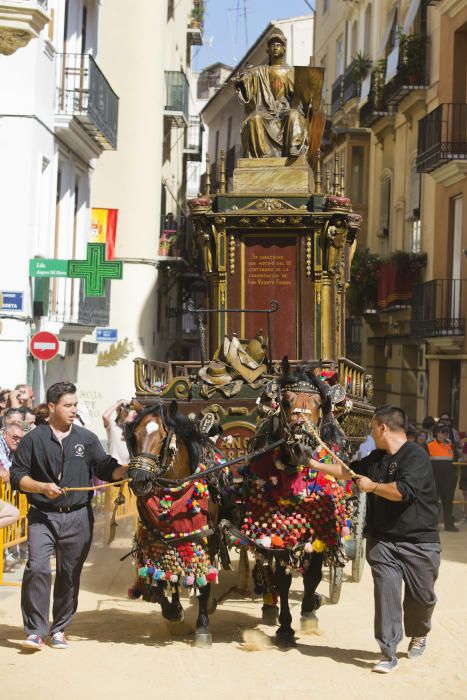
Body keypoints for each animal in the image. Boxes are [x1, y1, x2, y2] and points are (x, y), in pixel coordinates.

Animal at [123, 400, 231, 644]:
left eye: (163, 438)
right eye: (133, 435)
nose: (139, 479)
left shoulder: (207, 537)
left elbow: (204, 584)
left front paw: (202, 626)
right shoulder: (155, 539)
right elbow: (160, 577)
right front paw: (173, 612)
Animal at [232, 358, 352, 648]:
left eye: (318, 403)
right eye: (286, 402)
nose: (302, 445)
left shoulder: (321, 531)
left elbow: (313, 576)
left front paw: (309, 612)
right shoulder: (275, 532)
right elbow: (283, 579)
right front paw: (285, 627)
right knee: (265, 566)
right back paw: (268, 604)